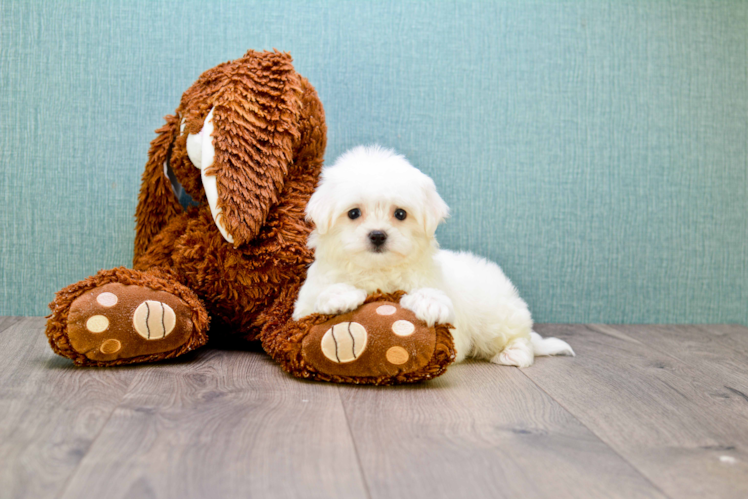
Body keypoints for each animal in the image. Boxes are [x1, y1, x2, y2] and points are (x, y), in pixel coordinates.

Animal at [292, 145, 572, 368]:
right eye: (353, 213)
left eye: (400, 214)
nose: (378, 235)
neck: (377, 270)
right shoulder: (300, 310)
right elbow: (313, 305)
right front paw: (339, 295)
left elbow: (438, 303)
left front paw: (430, 303)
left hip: (496, 314)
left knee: (519, 337)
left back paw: (514, 354)